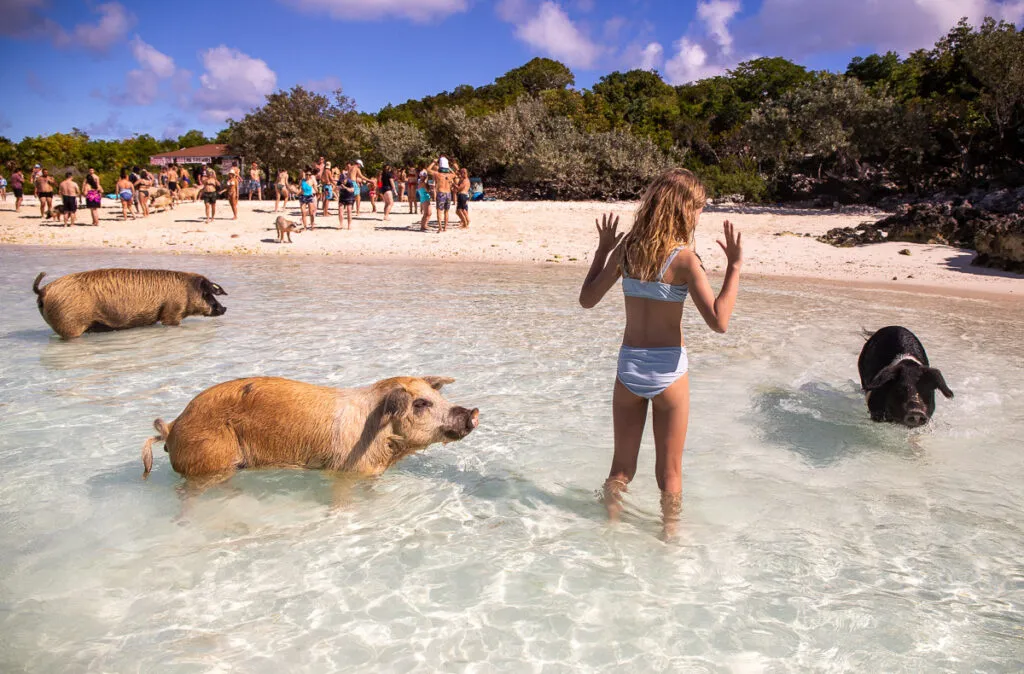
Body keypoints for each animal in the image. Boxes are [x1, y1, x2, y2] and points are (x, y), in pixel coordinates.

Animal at [33, 268, 227, 340]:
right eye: (207, 293)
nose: (224, 308)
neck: (187, 289)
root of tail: (43, 291)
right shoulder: (171, 312)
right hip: (70, 325)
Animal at [141, 376, 480, 483]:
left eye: (439, 395)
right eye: (421, 403)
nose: (472, 412)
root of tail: (172, 428)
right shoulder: (347, 470)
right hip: (207, 462)